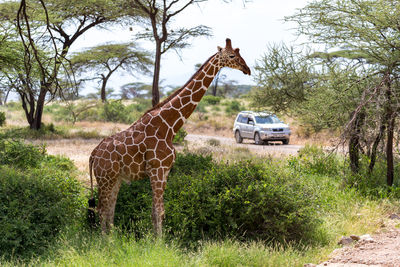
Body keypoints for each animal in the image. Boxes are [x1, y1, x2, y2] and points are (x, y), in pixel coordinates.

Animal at [89, 38, 250, 236]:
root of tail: (93, 154)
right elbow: (158, 211)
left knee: (109, 210)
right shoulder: (157, 169)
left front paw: (157, 239)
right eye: (232, 55)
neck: (169, 126)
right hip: (105, 178)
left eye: (239, 52)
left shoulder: (165, 171)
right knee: (102, 209)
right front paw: (159, 242)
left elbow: (157, 211)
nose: (247, 69)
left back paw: (111, 239)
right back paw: (105, 241)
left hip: (115, 178)